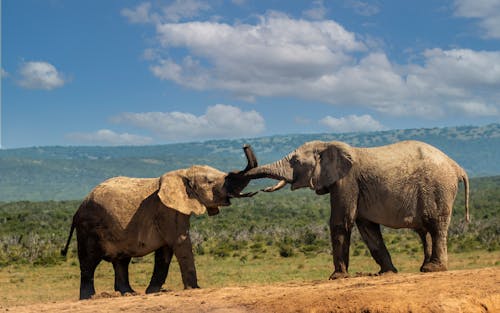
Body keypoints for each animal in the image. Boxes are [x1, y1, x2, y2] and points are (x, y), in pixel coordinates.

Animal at [61, 145, 260, 298]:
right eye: (211, 182)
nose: (245, 146)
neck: (182, 173)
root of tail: (78, 209)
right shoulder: (166, 210)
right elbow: (180, 242)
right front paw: (194, 289)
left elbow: (165, 251)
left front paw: (153, 292)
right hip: (88, 228)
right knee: (89, 262)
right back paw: (89, 298)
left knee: (121, 261)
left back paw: (129, 293)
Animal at [244, 139, 470, 278]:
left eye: (295, 161)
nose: (245, 146)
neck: (328, 145)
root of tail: (457, 167)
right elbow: (367, 228)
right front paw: (387, 273)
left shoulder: (347, 181)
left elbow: (341, 221)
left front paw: (337, 277)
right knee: (425, 231)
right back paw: (424, 268)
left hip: (438, 188)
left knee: (436, 226)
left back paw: (433, 269)